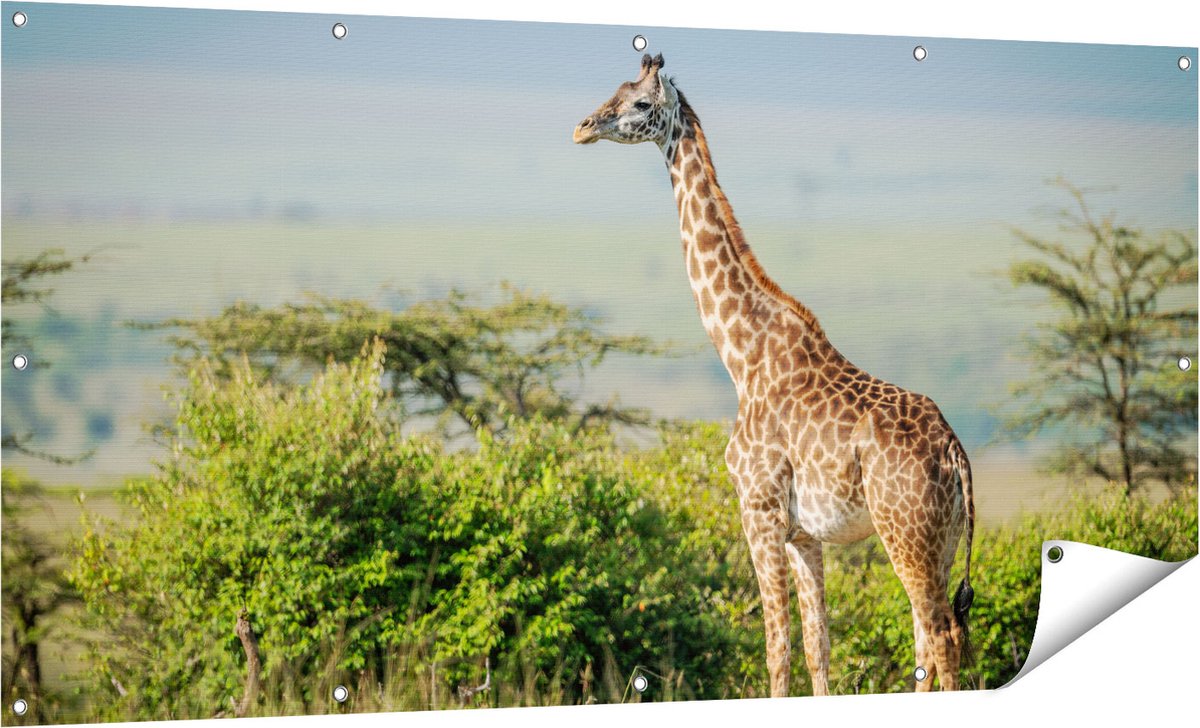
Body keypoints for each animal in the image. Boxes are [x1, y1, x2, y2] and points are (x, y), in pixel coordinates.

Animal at [574, 54, 976, 696]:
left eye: (638, 103)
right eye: (615, 88)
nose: (583, 127)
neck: (741, 355)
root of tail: (956, 453)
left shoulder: (758, 510)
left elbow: (775, 649)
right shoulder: (803, 533)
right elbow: (816, 648)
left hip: (905, 533)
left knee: (940, 637)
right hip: (939, 541)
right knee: (933, 637)